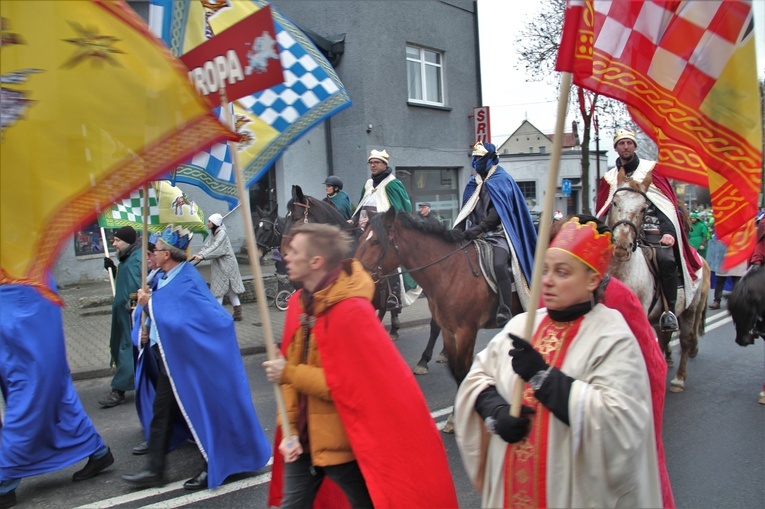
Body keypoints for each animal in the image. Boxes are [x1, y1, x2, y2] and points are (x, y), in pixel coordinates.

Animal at [354, 206, 524, 384]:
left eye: (376, 241)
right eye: (361, 239)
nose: (354, 277)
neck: (451, 271)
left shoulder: (466, 332)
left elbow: (463, 374)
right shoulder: (448, 330)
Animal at [604, 169, 712, 390]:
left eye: (644, 208)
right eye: (615, 202)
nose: (622, 246)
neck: (621, 273)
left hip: (690, 309)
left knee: (685, 339)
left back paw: (678, 379)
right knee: (664, 338)